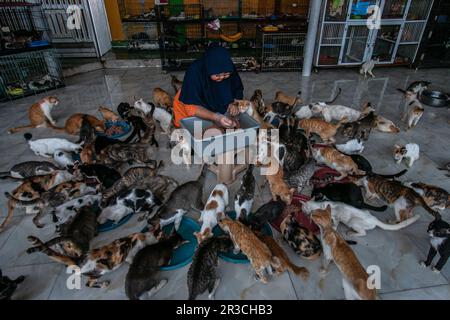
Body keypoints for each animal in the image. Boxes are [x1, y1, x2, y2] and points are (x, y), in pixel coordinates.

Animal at [26, 230, 160, 288]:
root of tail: (77, 260)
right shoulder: (129, 247)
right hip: (100, 269)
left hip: (95, 273)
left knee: (88, 283)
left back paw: (103, 285)